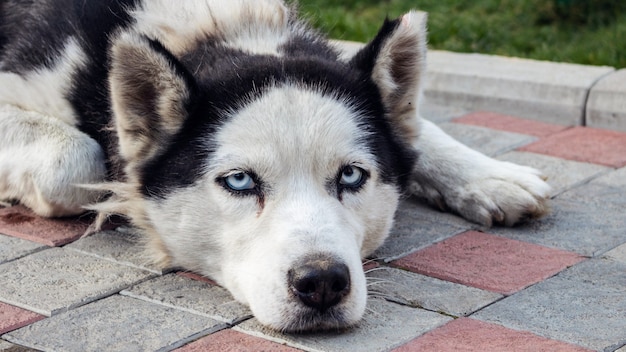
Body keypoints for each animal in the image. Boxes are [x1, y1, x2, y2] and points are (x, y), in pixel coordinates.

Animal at [0, 0, 544, 332]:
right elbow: (76, 162)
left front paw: (490, 175)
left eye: (351, 175)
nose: (322, 282)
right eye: (239, 181)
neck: (211, 24)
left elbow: (414, 130)